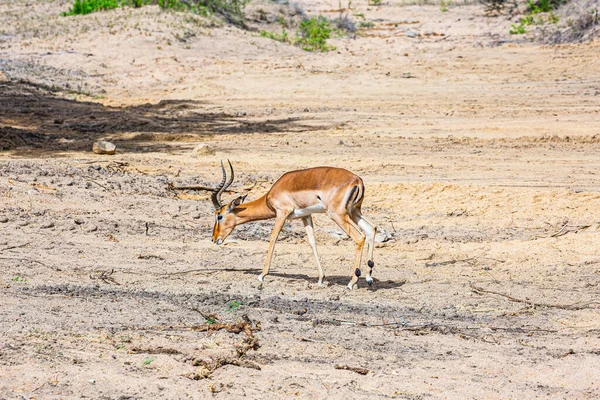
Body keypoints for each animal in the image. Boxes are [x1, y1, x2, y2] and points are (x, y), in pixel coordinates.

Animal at [210, 161, 376, 290]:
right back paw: (368, 278)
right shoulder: (305, 216)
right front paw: (321, 279)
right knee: (372, 229)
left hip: (337, 215)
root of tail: (357, 180)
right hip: (354, 212)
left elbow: (273, 238)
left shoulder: (282, 213)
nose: (214, 239)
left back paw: (352, 282)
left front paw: (262, 275)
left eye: (219, 216)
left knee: (360, 237)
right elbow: (312, 242)